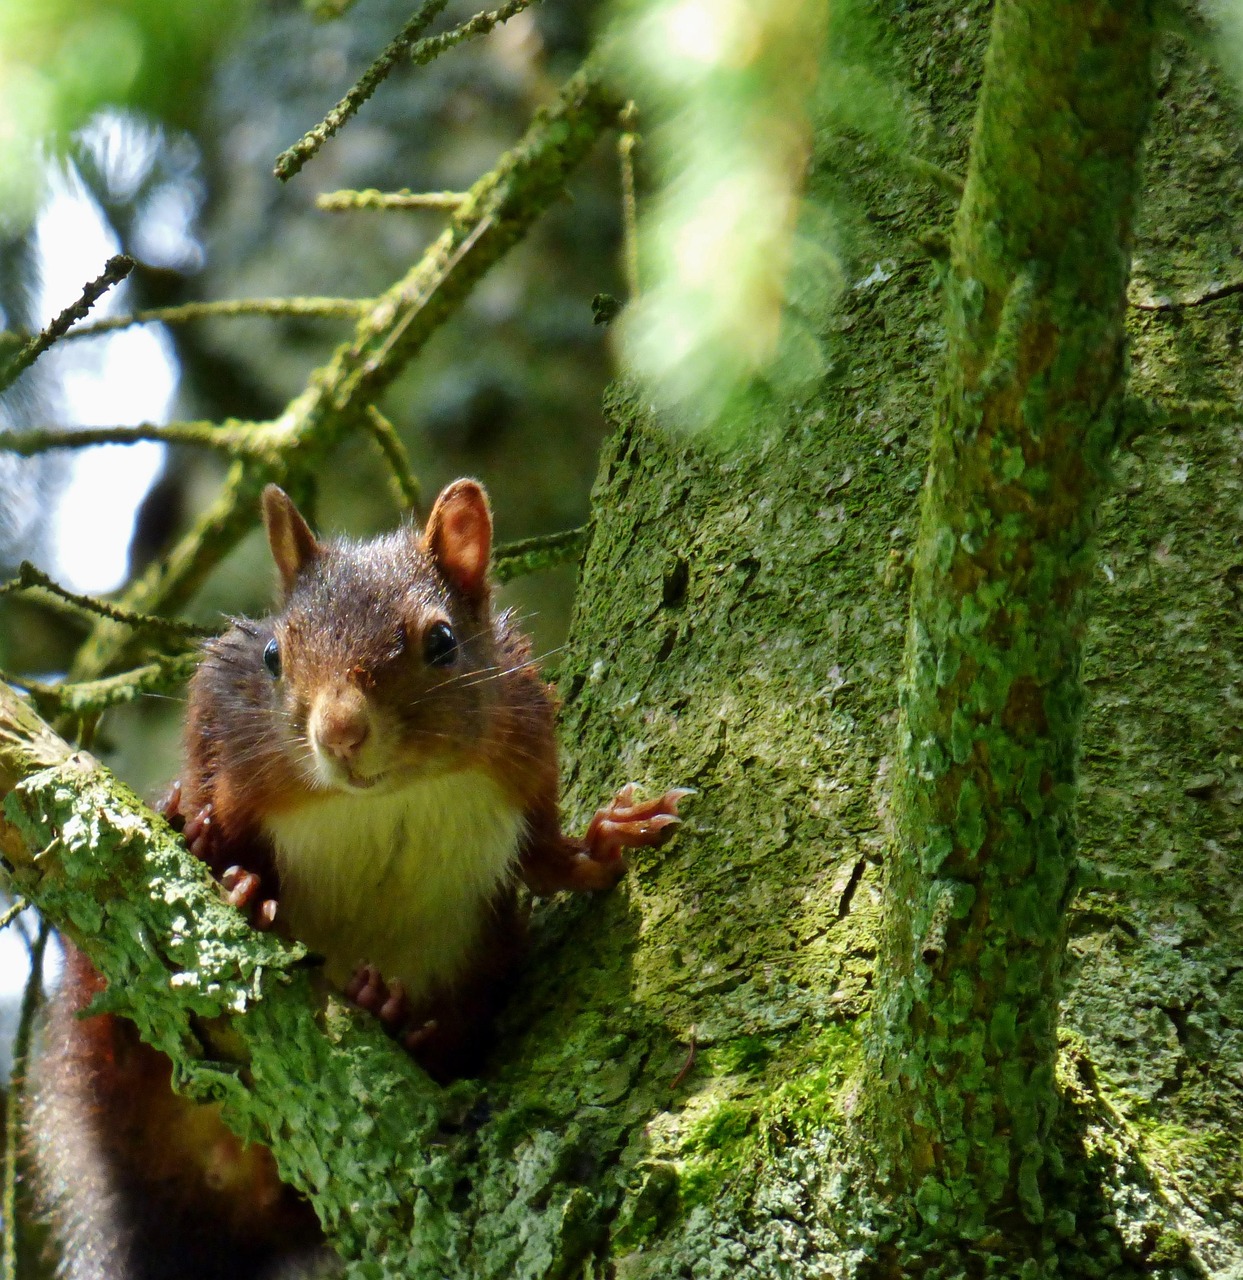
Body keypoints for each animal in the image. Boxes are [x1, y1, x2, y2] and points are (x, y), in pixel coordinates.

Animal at [31, 478, 689, 1280]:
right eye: (274, 654)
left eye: (442, 642)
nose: (340, 733)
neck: (385, 797)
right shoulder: (221, 707)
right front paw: (210, 839)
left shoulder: (528, 746)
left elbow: (547, 858)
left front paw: (612, 835)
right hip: (103, 1042)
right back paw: (224, 871)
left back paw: (393, 1013)